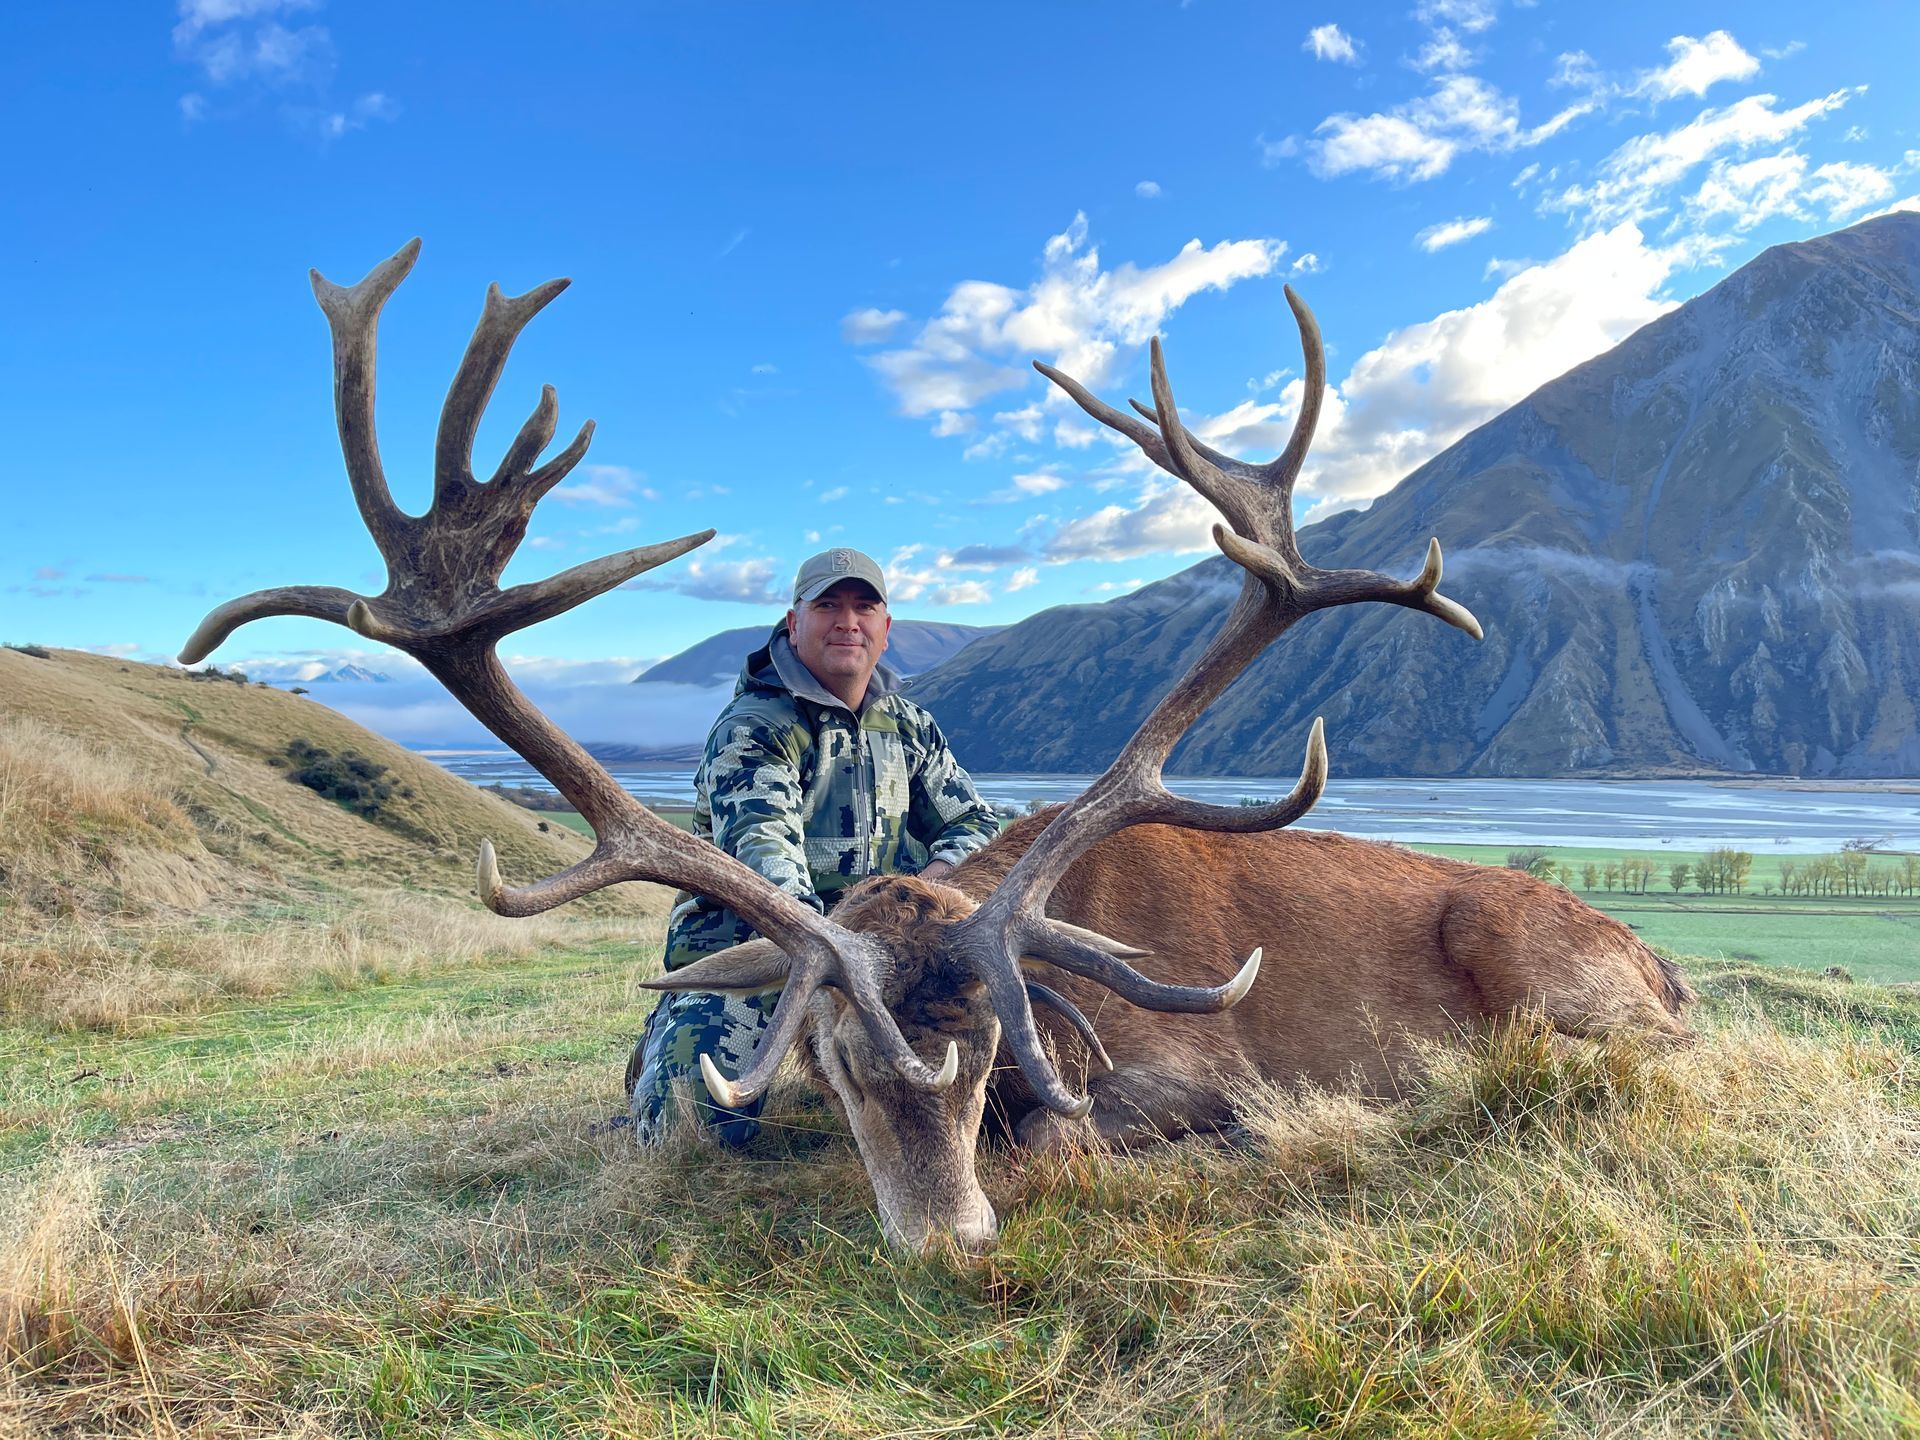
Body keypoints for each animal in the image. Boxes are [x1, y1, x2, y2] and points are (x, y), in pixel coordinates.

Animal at [181, 241, 1695, 1255]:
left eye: (981, 1059)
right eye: (838, 1066)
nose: (950, 1236)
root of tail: (1668, 969)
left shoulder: (1183, 1076)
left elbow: (1118, 1133)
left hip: (1544, 970)